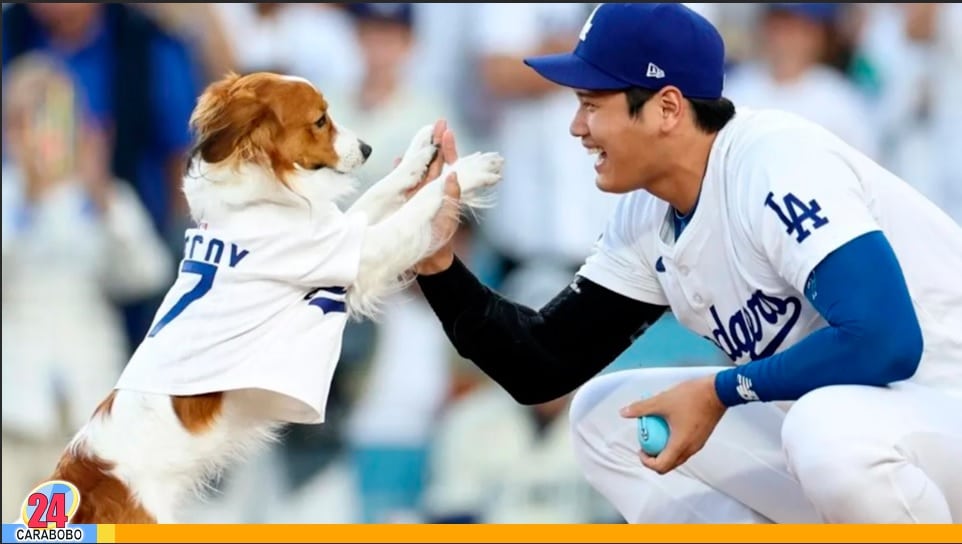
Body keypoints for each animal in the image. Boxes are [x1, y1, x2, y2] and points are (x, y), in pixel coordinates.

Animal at [28, 71, 502, 524]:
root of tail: (80, 480)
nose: (366, 148)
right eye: (320, 120)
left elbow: (379, 194)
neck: (257, 199)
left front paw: (421, 155)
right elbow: (422, 204)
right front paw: (468, 172)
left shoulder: (338, 234)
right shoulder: (355, 253)